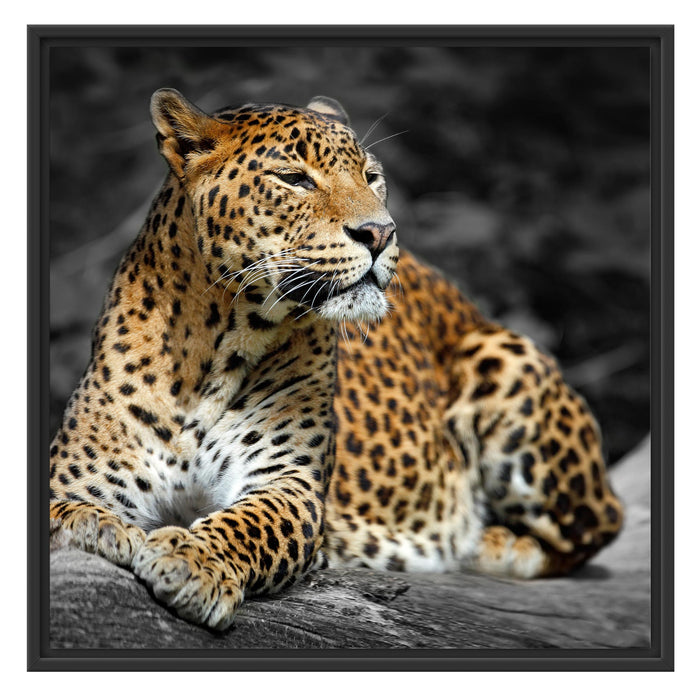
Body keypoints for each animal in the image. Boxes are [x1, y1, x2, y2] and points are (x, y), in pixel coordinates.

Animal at [50, 88, 623, 631]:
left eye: (372, 177)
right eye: (294, 179)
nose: (381, 232)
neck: (214, 347)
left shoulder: (288, 483)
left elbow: (246, 525)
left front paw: (192, 560)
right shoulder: (80, 474)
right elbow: (65, 507)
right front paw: (94, 525)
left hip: (505, 357)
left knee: (598, 525)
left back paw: (490, 543)